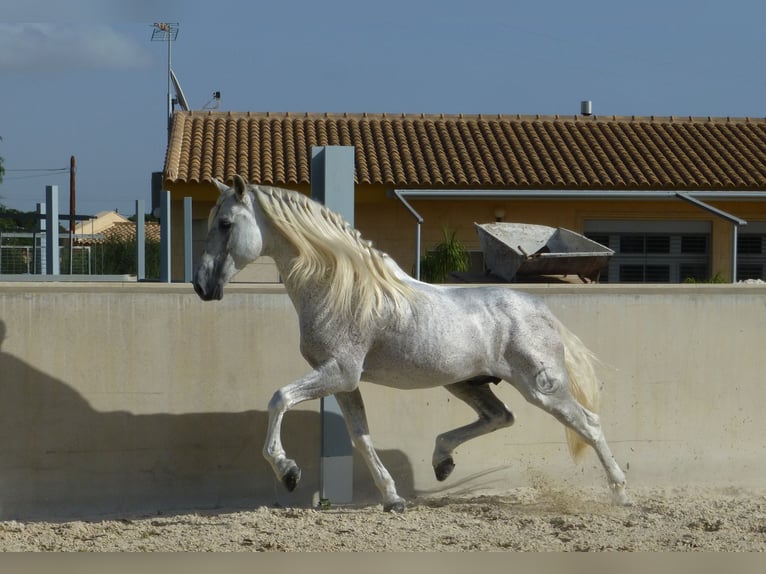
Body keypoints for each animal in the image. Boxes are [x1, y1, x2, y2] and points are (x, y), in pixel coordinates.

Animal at [192, 174, 632, 512]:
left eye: (226, 223)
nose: (201, 286)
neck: (343, 289)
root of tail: (540, 309)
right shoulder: (344, 382)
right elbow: (361, 437)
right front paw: (393, 499)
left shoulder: (338, 372)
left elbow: (279, 398)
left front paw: (288, 472)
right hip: (466, 383)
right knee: (500, 417)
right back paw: (442, 462)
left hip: (542, 387)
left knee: (588, 423)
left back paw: (622, 496)